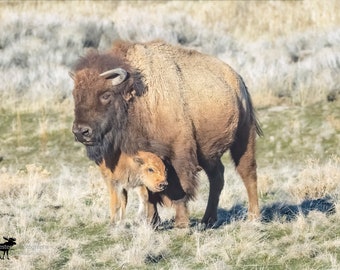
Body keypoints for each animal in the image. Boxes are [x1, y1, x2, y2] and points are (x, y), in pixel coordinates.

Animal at [70, 40, 262, 228]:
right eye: (75, 95)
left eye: (106, 95)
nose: (81, 131)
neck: (138, 100)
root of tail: (237, 79)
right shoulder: (144, 158)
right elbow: (150, 191)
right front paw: (153, 223)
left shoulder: (178, 155)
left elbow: (179, 188)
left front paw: (181, 224)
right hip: (208, 154)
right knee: (217, 177)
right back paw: (208, 220)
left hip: (243, 136)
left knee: (248, 173)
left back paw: (253, 217)